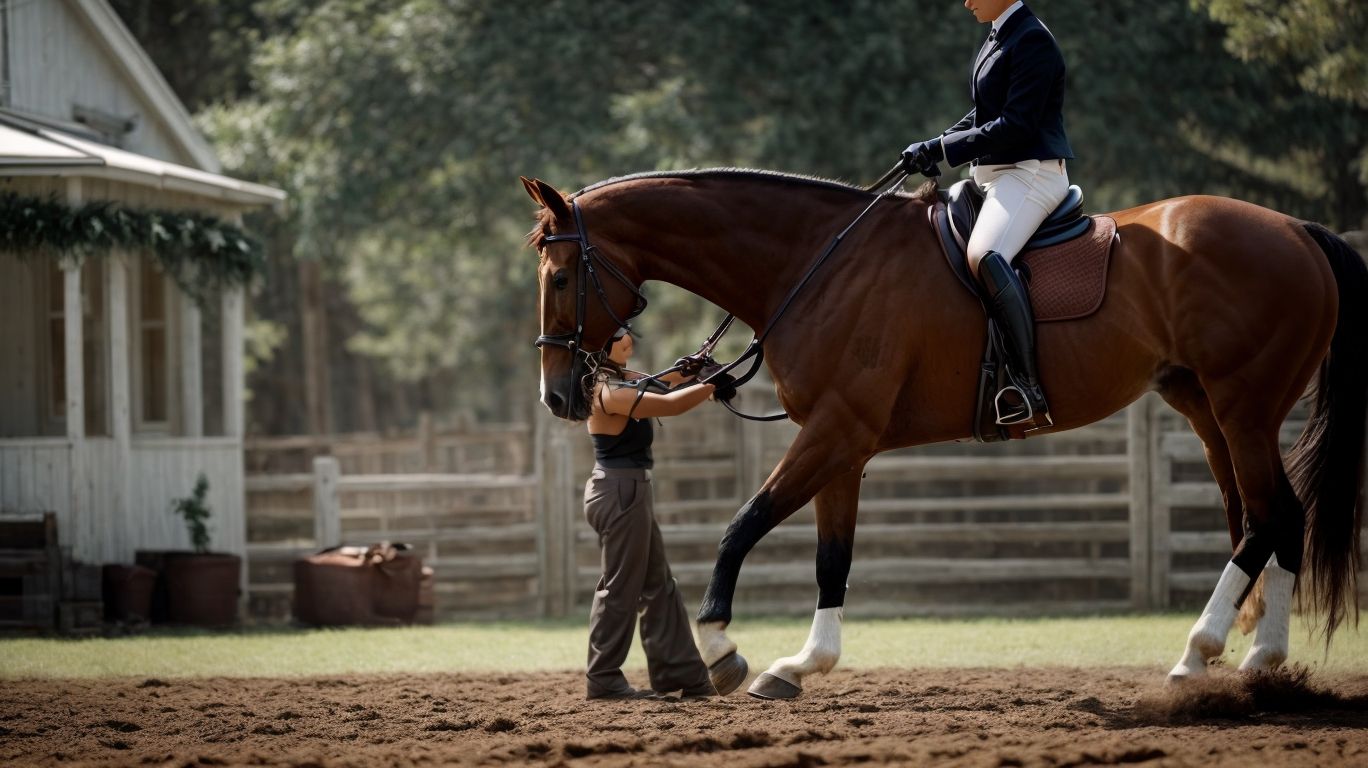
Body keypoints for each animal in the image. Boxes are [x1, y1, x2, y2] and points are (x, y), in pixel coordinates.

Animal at [522, 168, 1366, 699]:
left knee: (1271, 516)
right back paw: (1238, 658)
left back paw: (1223, 655)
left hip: (1244, 407)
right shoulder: (843, 445)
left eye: (559, 277)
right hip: (1207, 408)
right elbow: (833, 557)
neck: (816, 264)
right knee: (1265, 519)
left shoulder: (835, 431)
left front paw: (724, 648)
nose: (560, 394)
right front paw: (804, 663)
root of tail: (1296, 230)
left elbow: (743, 524)